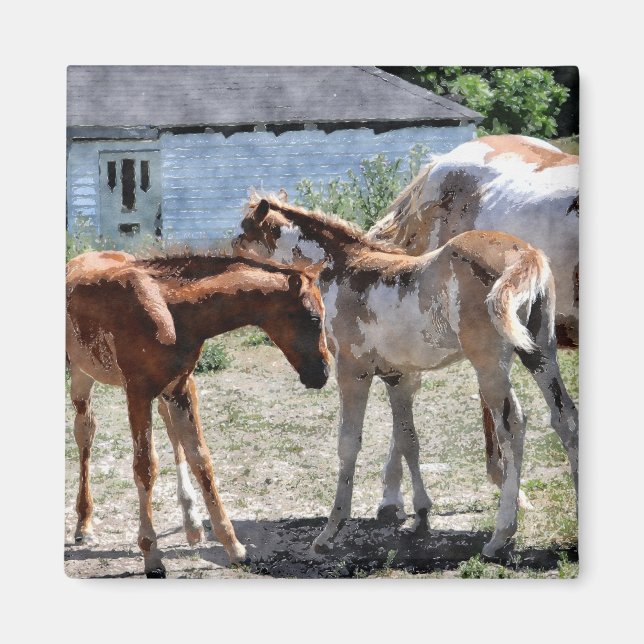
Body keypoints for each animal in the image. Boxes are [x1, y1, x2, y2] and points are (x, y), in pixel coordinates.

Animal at [66, 250, 331, 577]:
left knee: (167, 431)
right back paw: (83, 524)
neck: (172, 311)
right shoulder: (137, 392)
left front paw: (235, 548)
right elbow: (145, 468)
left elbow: (201, 459)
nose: (323, 373)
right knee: (85, 432)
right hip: (80, 374)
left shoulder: (179, 388)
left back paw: (191, 526)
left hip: (162, 393)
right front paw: (152, 556)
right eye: (314, 318)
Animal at [233, 195, 578, 558]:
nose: (232, 264)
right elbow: (408, 439)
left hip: (490, 365)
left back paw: (501, 534)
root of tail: (525, 254)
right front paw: (421, 512)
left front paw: (331, 530)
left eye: (244, 233)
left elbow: (348, 443)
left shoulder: (353, 370)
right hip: (540, 352)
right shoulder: (398, 377)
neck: (343, 270)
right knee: (565, 417)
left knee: (512, 427)